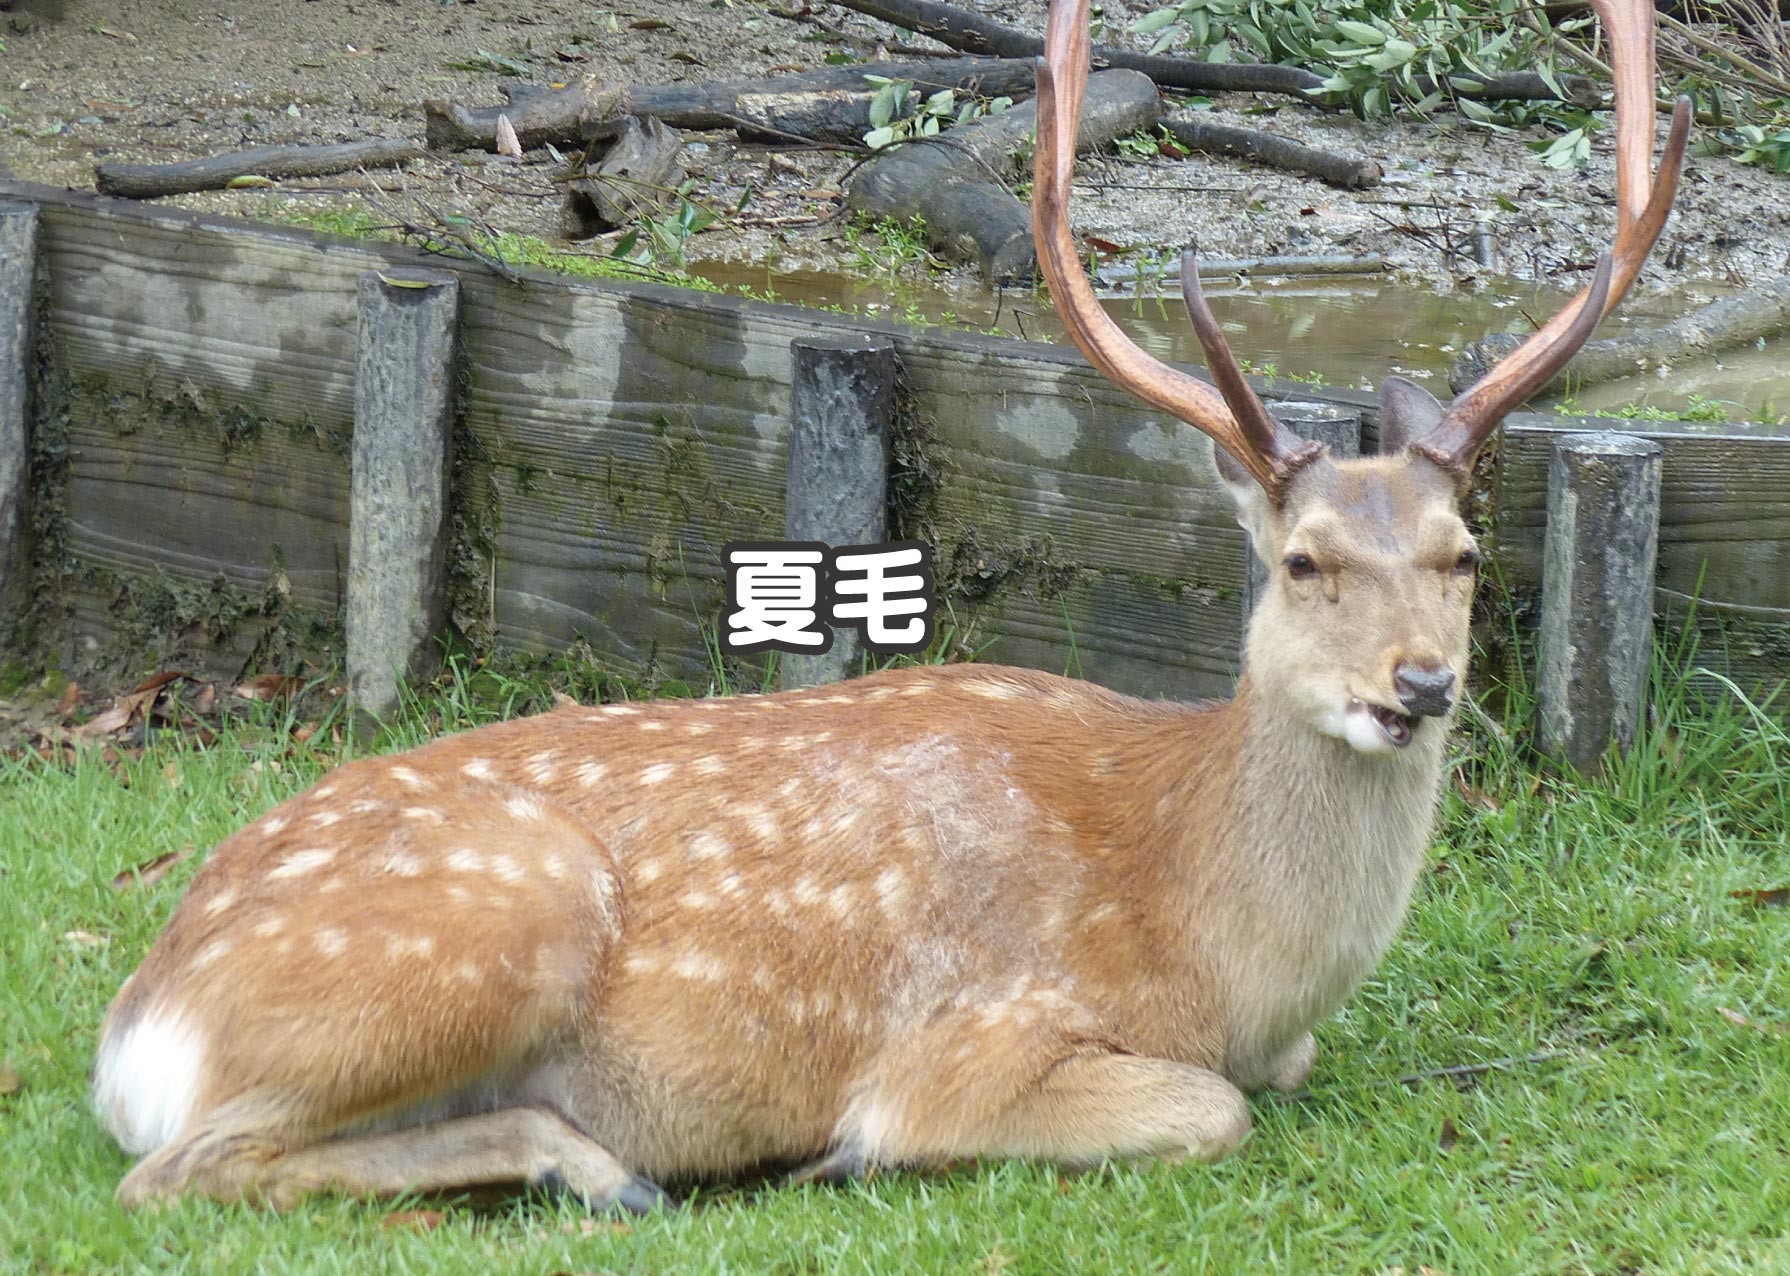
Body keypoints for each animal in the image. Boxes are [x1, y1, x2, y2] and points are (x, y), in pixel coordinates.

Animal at [94, 0, 1689, 1216]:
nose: (1416, 685)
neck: (1211, 951)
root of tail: (138, 1029)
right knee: (177, 1173)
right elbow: (1204, 1109)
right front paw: (852, 1150)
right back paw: (599, 1164)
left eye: (1461, 554)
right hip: (487, 926)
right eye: (1300, 561)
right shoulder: (976, 1035)